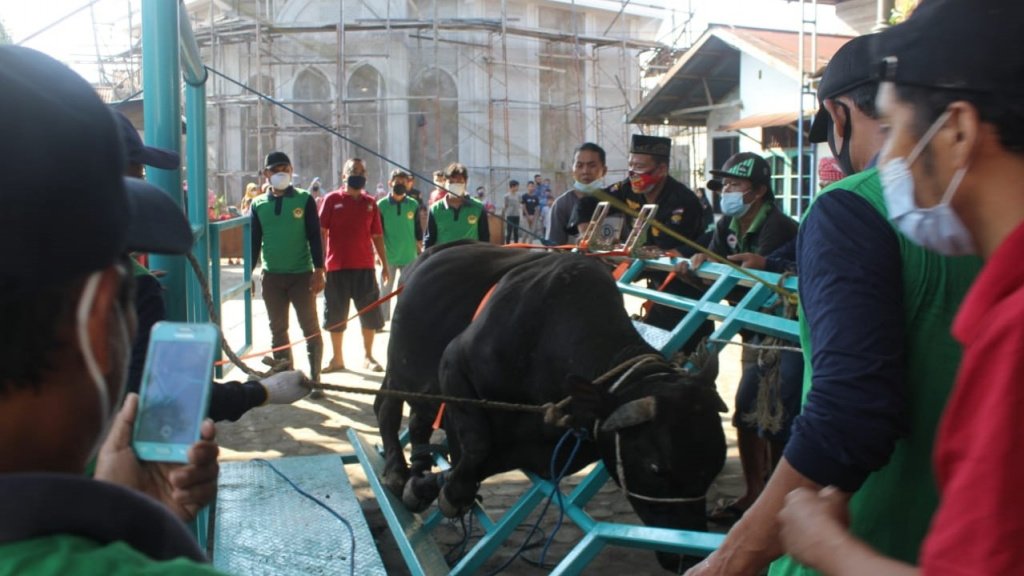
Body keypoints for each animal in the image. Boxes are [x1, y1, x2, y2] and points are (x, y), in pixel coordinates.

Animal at [376, 238, 729, 569]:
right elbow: (478, 444)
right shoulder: (453, 364)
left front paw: (428, 484)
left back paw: (419, 464)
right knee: (387, 407)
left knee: (418, 422)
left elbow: (480, 461)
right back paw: (395, 470)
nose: (684, 558)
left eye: (714, 467)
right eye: (656, 468)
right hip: (398, 366)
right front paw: (440, 490)